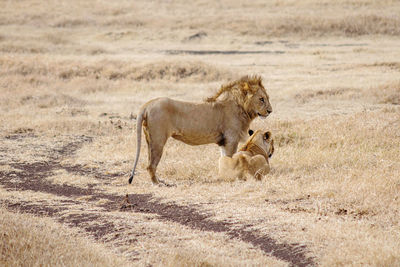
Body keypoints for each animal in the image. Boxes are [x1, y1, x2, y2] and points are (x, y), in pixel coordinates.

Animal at [130, 74, 274, 185]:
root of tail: (147, 104)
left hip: (150, 139)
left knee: (150, 162)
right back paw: (157, 183)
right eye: (261, 99)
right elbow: (230, 159)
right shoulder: (231, 140)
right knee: (151, 165)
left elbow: (223, 159)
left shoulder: (224, 142)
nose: (270, 111)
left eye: (267, 98)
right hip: (158, 140)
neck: (242, 108)